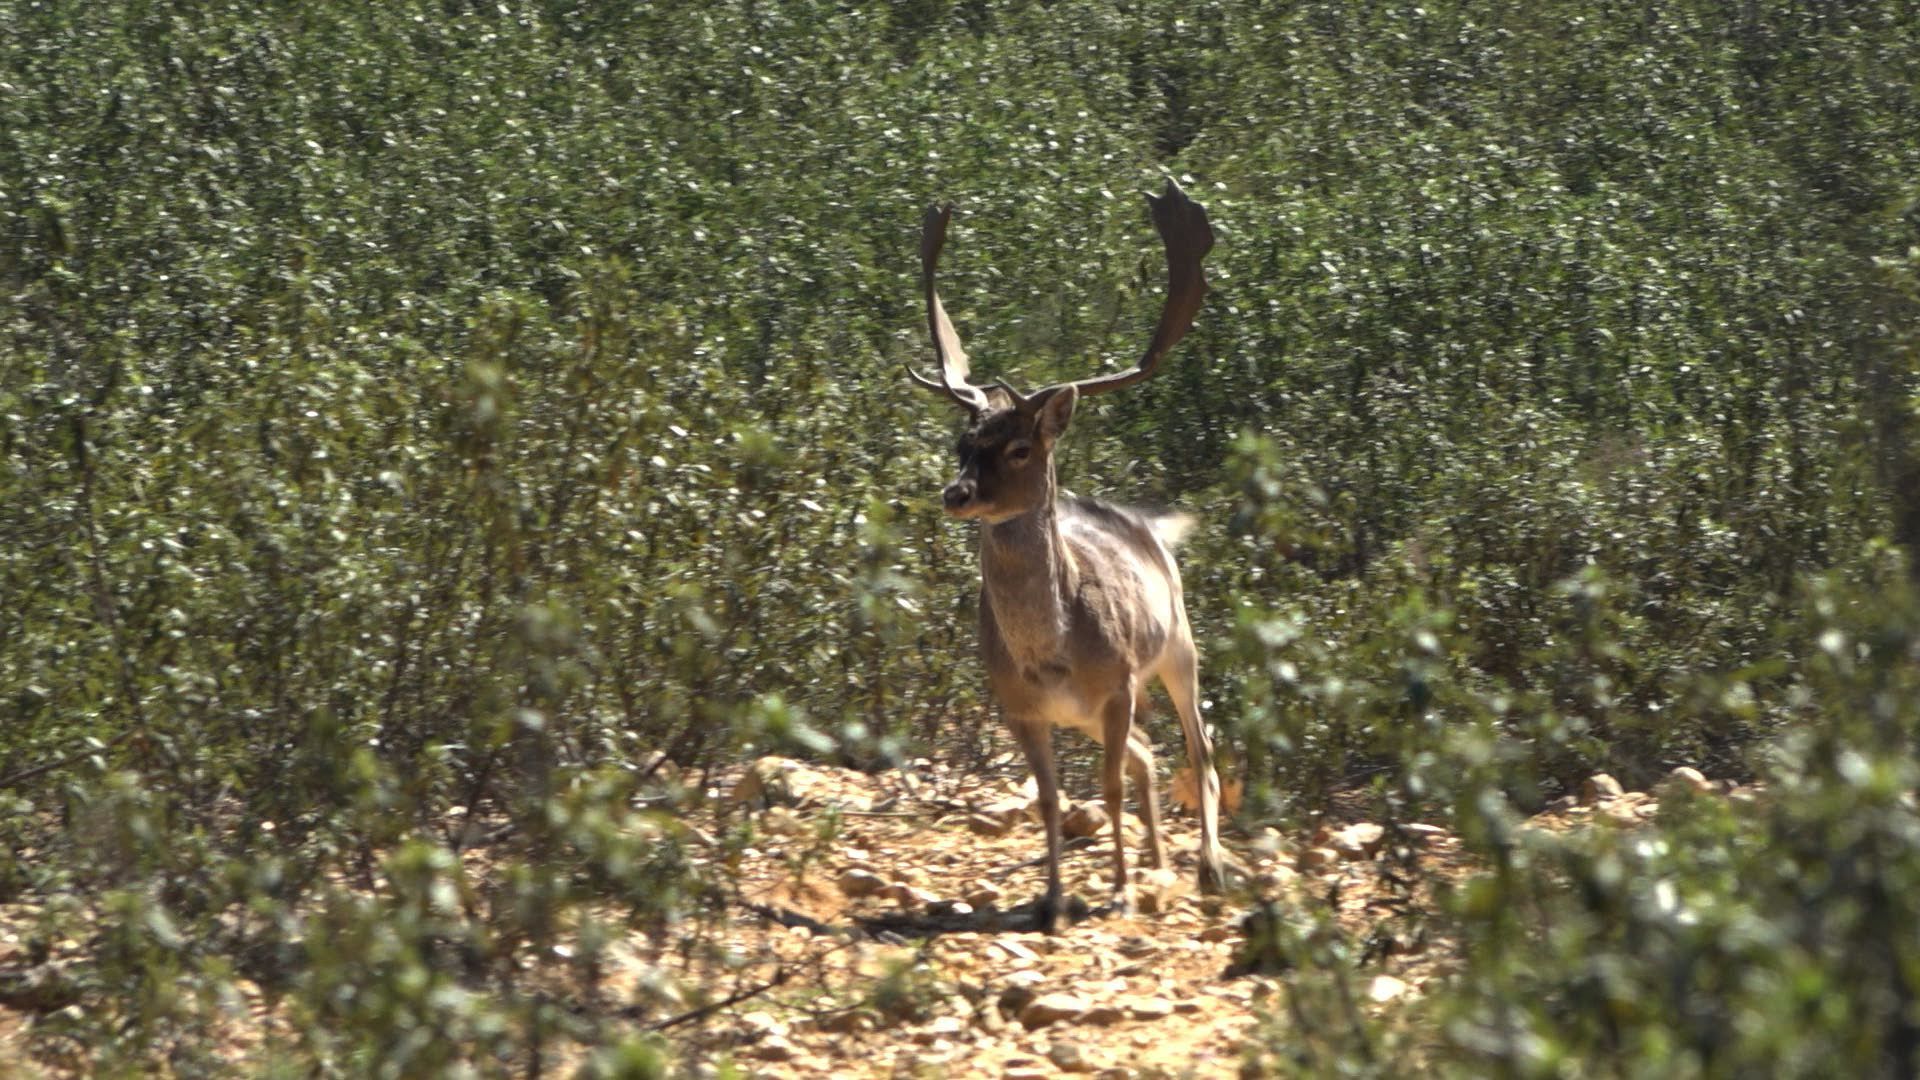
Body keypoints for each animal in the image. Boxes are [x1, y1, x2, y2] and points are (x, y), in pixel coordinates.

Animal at [902, 180, 1228, 930]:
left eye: (1020, 447)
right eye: (964, 444)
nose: (956, 494)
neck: (1051, 653)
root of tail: (1148, 524)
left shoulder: (1117, 684)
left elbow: (1106, 789)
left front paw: (1119, 891)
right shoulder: (1018, 706)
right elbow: (1052, 800)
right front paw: (1052, 899)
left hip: (1178, 645)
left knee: (1200, 749)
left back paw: (1207, 869)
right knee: (1148, 754)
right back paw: (1161, 862)